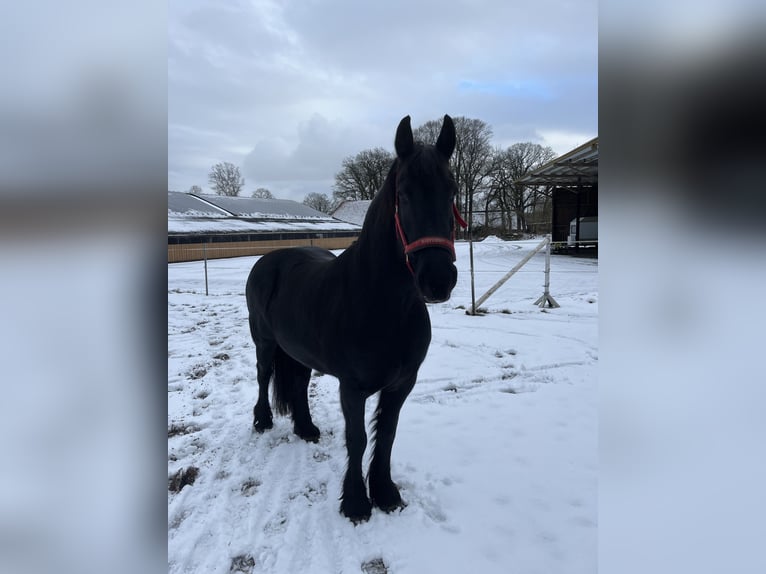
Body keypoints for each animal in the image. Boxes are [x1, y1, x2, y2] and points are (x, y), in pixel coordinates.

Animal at [245, 114, 466, 522]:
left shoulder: (401, 385)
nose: (438, 279)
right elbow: (358, 438)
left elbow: (387, 435)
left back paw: (306, 428)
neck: (383, 305)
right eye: (404, 193)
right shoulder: (353, 387)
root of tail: (269, 260)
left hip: (299, 352)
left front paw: (386, 493)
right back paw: (263, 421)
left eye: (452, 191)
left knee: (297, 384)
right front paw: (356, 502)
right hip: (265, 343)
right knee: (263, 375)